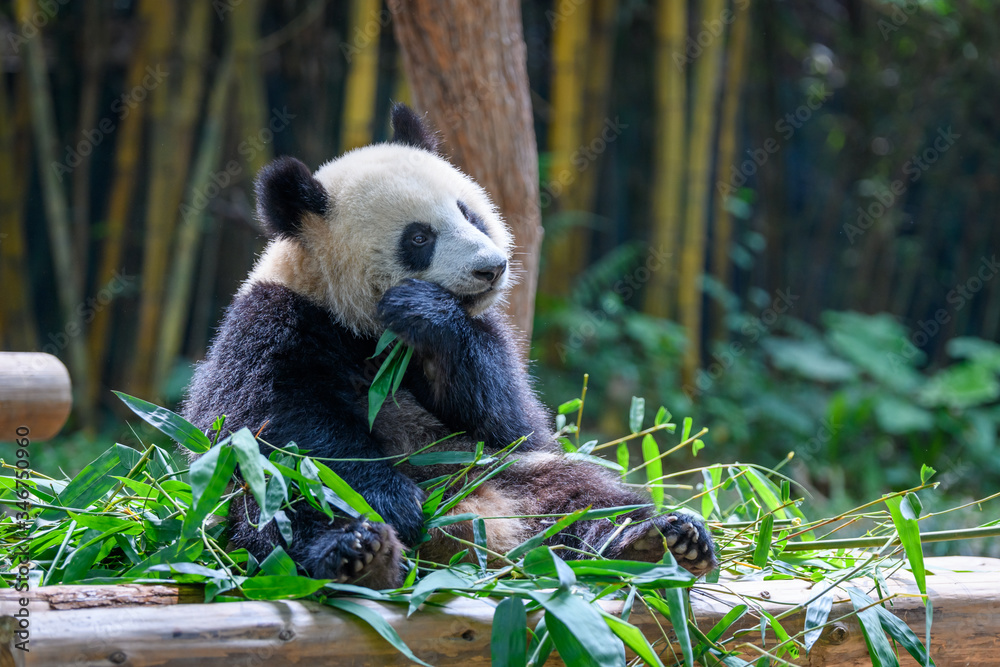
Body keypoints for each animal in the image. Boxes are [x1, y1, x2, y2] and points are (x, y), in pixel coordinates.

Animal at [182, 104, 715, 589]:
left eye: (468, 213)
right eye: (419, 237)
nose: (491, 268)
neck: (362, 326)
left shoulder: (487, 338)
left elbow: (511, 421)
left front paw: (424, 312)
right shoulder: (272, 323)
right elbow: (270, 421)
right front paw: (391, 500)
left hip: (506, 474)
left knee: (585, 495)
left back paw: (657, 540)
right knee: (283, 499)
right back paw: (358, 554)